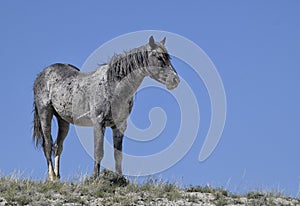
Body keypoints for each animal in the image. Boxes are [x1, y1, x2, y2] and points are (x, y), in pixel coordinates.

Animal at [32, 36, 179, 181]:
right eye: (159, 57)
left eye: (168, 58)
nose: (175, 80)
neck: (113, 85)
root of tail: (42, 74)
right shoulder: (98, 122)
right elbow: (98, 152)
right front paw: (94, 178)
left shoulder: (119, 125)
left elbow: (118, 154)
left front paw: (120, 179)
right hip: (45, 113)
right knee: (48, 145)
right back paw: (52, 177)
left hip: (63, 120)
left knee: (58, 146)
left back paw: (57, 177)